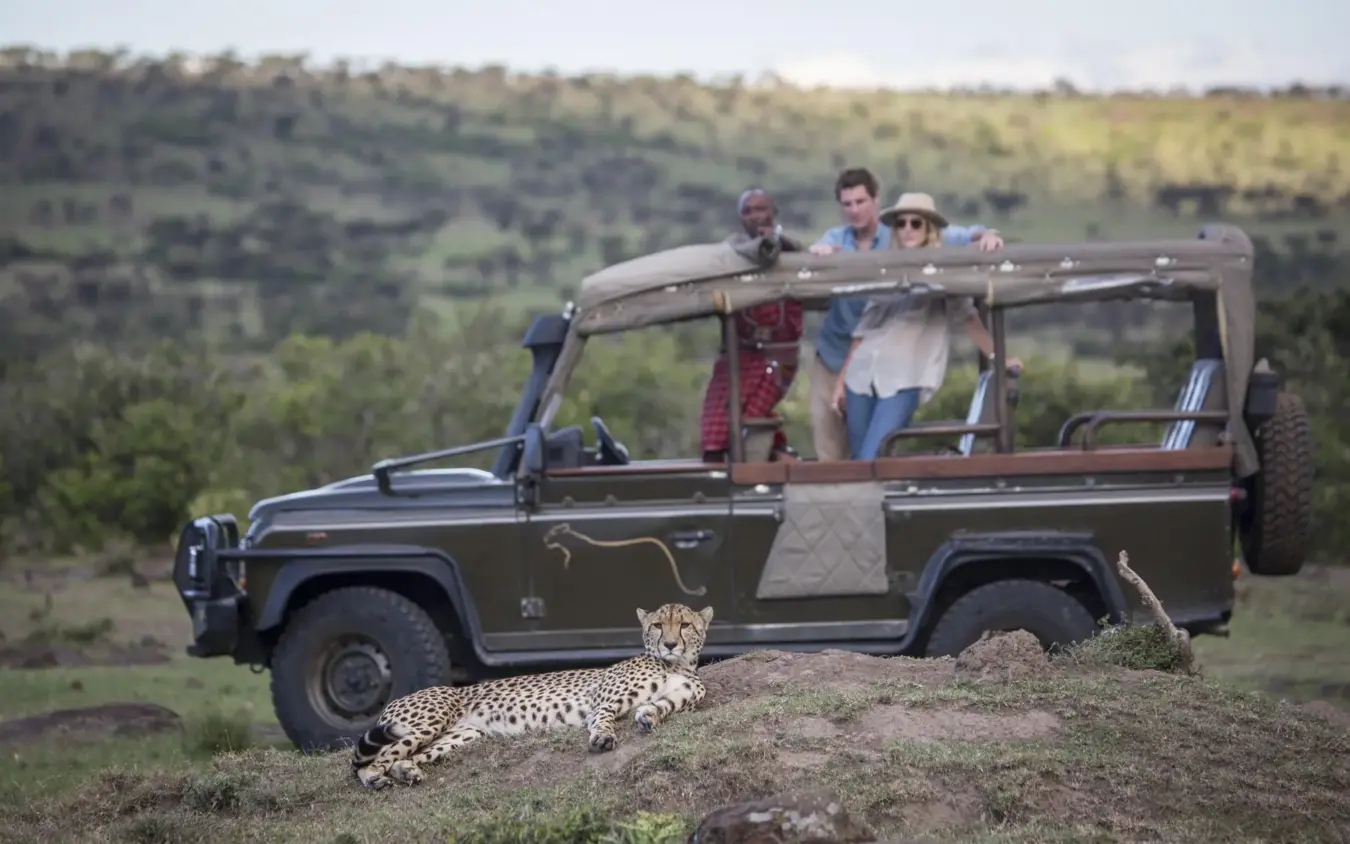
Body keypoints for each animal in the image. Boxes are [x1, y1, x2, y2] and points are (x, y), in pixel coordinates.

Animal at [351, 602, 713, 790]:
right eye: (657, 625)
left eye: (684, 625)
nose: (669, 644)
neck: (674, 664)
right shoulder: (602, 703)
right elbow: (603, 719)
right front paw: (602, 738)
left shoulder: (679, 697)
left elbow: (658, 707)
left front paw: (648, 716)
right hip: (425, 722)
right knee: (366, 763)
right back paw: (374, 778)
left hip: (462, 735)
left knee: (403, 757)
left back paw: (405, 772)